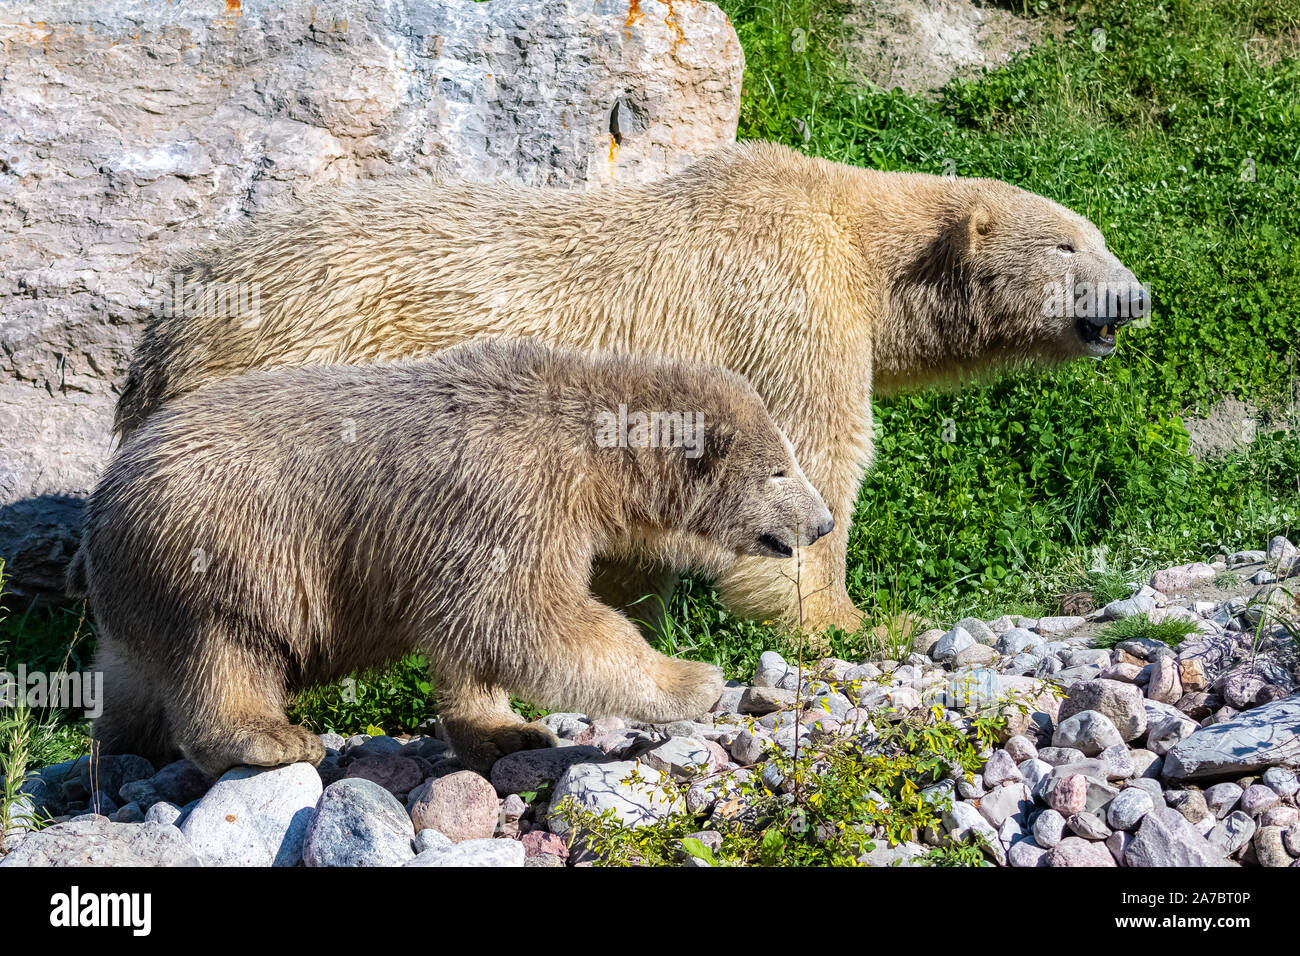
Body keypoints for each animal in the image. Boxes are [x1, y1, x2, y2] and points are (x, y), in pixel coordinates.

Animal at [114, 138, 1149, 639]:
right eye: (1071, 245)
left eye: (1099, 235)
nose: (1137, 296)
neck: (855, 239)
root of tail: (169, 329)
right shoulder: (790, 306)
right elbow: (816, 454)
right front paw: (853, 620)